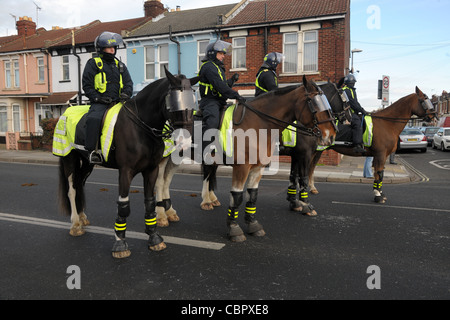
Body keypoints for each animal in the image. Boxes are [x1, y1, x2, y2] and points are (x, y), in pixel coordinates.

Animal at [55, 69, 199, 258]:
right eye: (173, 102)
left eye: (193, 102)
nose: (185, 142)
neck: (141, 127)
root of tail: (64, 114)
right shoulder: (125, 171)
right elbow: (123, 206)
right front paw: (120, 243)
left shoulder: (151, 169)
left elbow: (150, 202)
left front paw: (154, 238)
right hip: (69, 159)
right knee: (72, 189)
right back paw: (75, 224)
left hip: (87, 163)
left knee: (79, 185)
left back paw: (82, 217)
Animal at [308, 86, 438, 202]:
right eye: (424, 100)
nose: (434, 115)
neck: (387, 123)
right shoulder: (380, 154)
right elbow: (379, 173)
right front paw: (378, 196)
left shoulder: (380, 155)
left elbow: (380, 173)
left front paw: (380, 193)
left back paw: (312, 188)